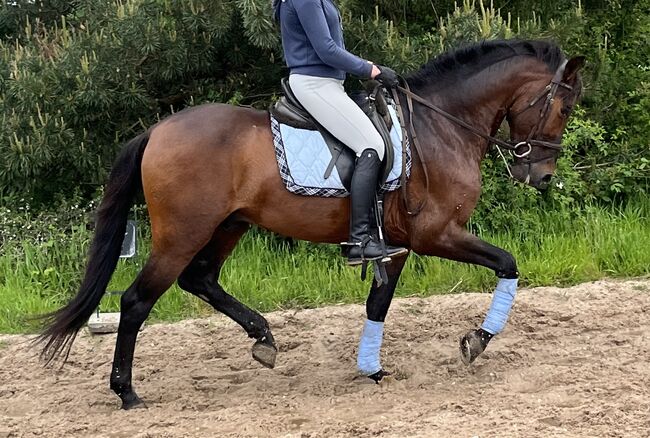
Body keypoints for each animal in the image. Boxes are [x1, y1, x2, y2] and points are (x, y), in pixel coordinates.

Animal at [36, 39, 584, 408]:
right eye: (562, 106)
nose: (540, 175)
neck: (441, 125)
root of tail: (158, 129)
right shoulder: (436, 235)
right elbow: (508, 263)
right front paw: (476, 340)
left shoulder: (398, 245)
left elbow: (378, 304)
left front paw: (371, 368)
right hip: (181, 234)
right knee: (136, 301)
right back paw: (127, 392)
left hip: (229, 225)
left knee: (201, 279)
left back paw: (263, 339)